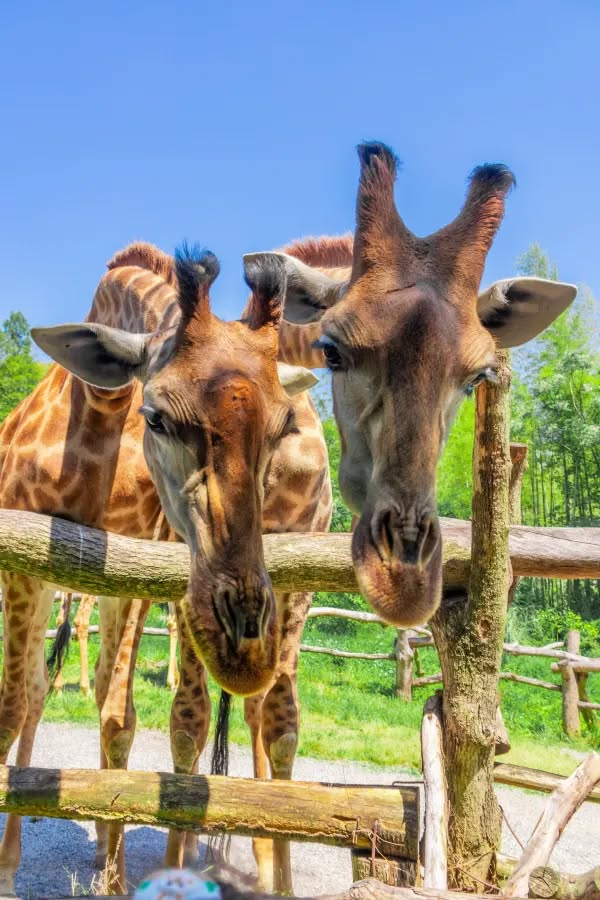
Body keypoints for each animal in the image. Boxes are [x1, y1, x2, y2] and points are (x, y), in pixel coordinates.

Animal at [0, 242, 331, 895]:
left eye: (281, 426)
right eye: (154, 416)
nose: (243, 645)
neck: (93, 422)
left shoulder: (129, 574)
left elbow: (119, 718)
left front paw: (113, 872)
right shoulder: (22, 570)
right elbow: (10, 707)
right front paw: (6, 871)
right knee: (35, 693)